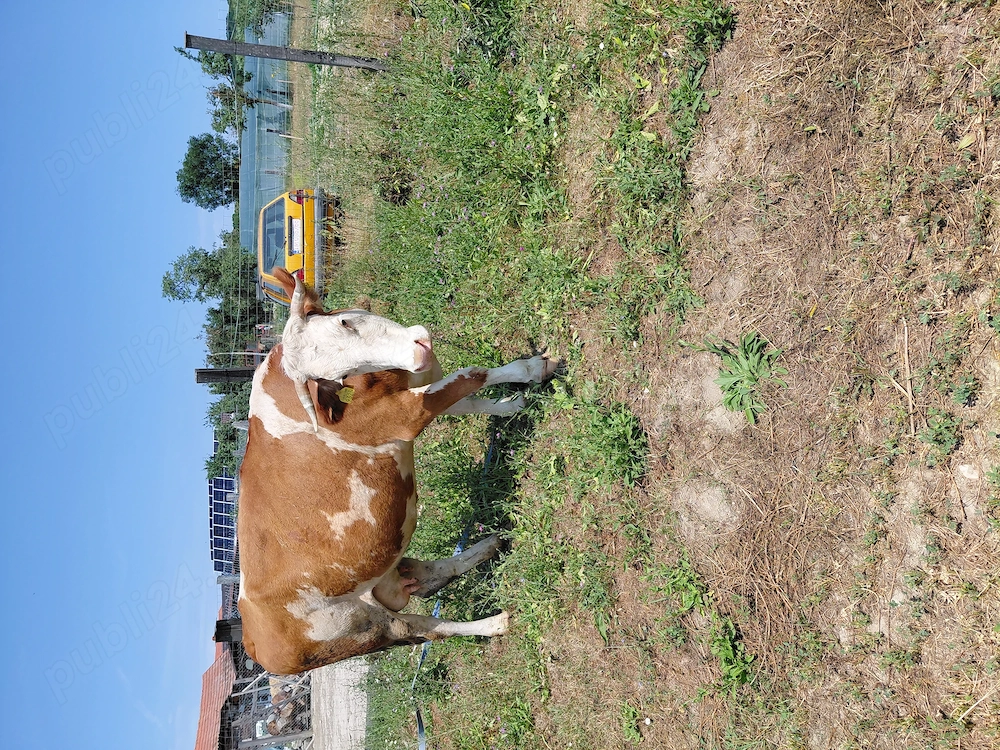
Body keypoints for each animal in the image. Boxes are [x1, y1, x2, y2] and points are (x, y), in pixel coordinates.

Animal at [236, 268, 557, 674]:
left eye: (344, 322)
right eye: (336, 377)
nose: (417, 352)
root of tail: (252, 641)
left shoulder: (420, 389)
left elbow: (471, 399)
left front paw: (513, 401)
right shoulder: (408, 415)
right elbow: (472, 375)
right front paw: (530, 370)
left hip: (379, 577)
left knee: (425, 576)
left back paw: (487, 546)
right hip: (362, 628)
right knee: (424, 628)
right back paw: (496, 623)